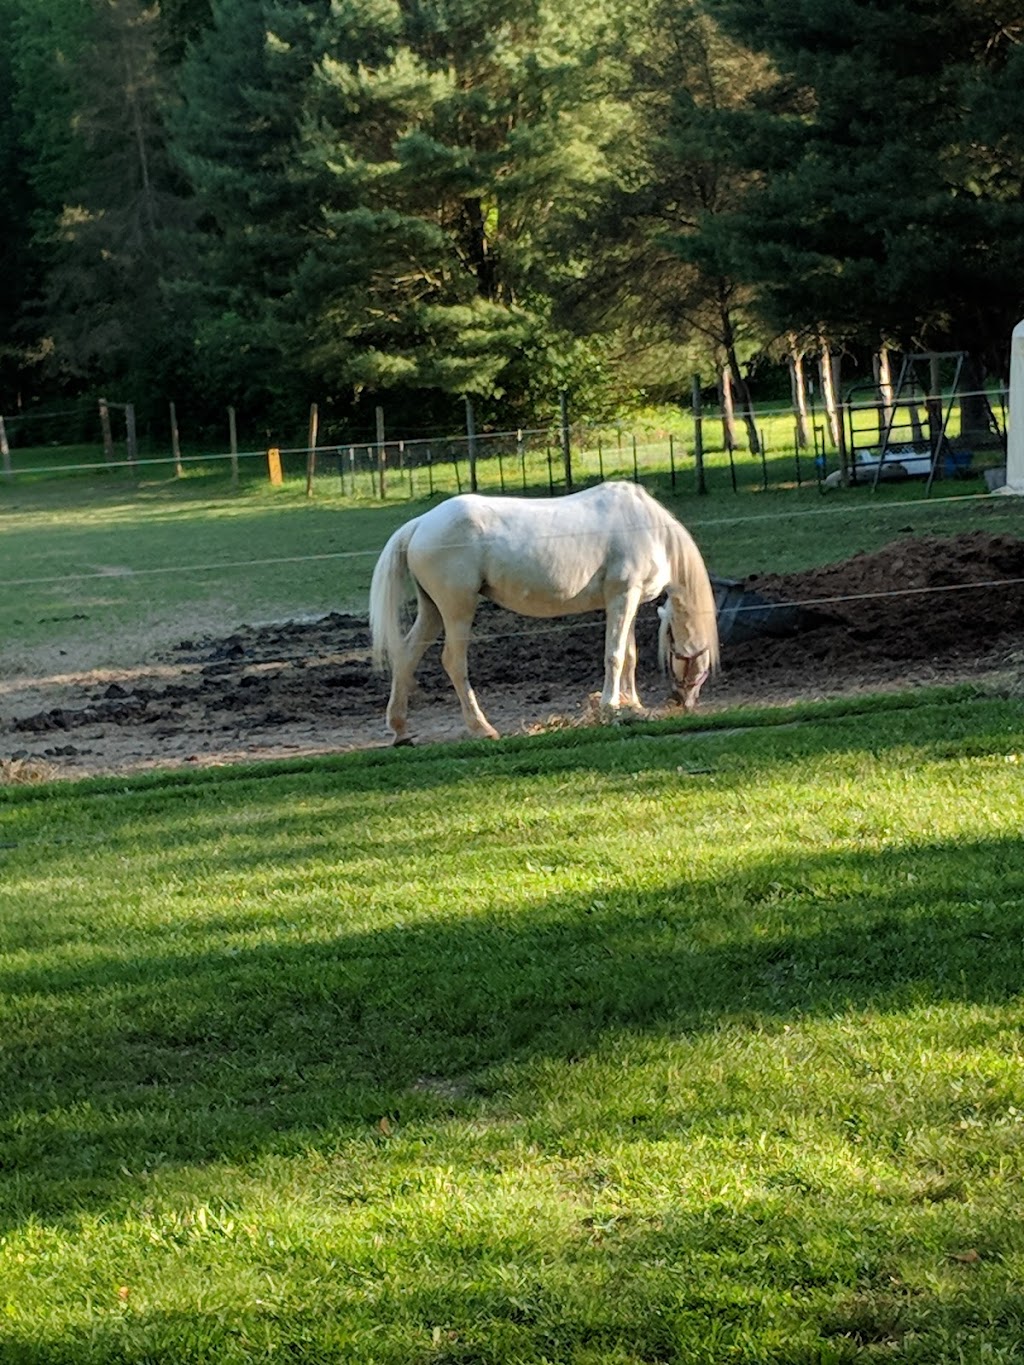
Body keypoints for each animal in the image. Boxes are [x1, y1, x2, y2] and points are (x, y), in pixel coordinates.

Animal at [371, 477, 720, 737]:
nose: (682, 701)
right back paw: (482, 728)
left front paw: (632, 705)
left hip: (432, 610)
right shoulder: (623, 595)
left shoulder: (626, 602)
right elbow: (615, 655)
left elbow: (629, 655)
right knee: (454, 663)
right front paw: (610, 706)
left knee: (407, 655)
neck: (649, 529)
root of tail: (420, 524)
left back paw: (400, 729)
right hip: (457, 610)